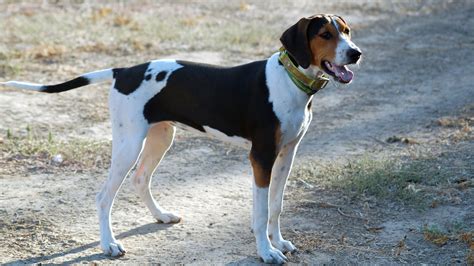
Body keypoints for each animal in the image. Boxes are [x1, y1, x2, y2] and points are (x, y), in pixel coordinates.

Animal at [1, 14, 362, 262]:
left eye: (346, 31)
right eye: (325, 34)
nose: (356, 53)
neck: (289, 79)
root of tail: (124, 71)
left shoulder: (286, 154)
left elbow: (276, 205)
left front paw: (280, 241)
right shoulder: (260, 158)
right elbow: (259, 213)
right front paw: (266, 251)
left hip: (161, 137)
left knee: (141, 179)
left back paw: (161, 215)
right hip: (129, 144)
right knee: (104, 196)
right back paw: (109, 244)